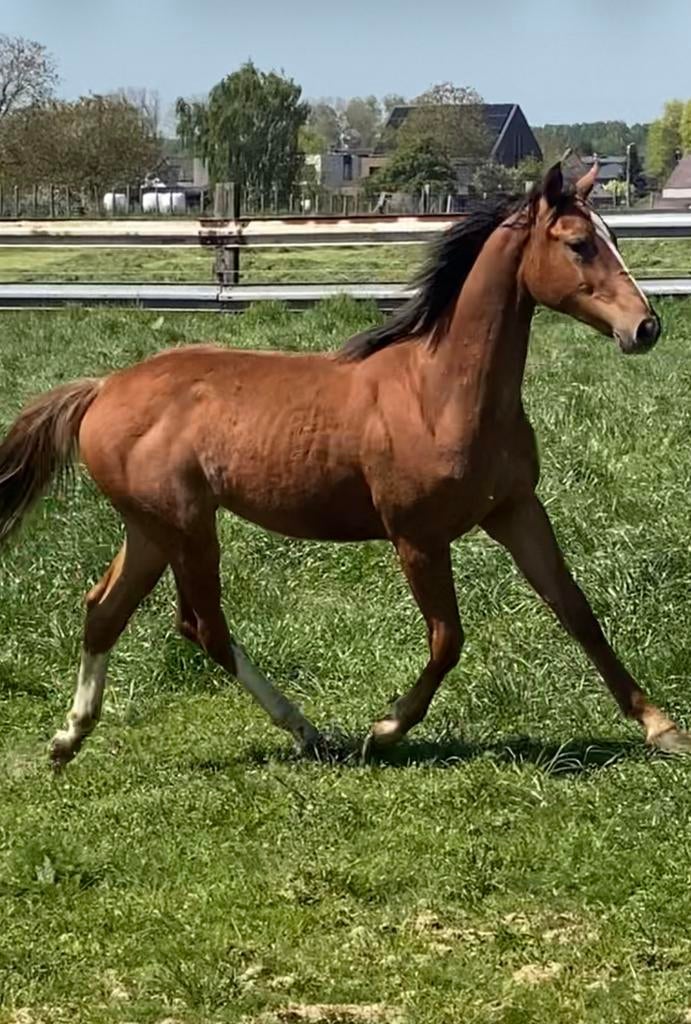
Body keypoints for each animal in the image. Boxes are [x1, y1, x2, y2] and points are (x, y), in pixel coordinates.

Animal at [1, 158, 688, 770]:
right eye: (578, 245)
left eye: (613, 236)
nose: (646, 327)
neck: (441, 392)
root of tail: (102, 389)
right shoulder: (417, 536)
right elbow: (448, 639)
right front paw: (384, 731)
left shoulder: (516, 510)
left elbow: (576, 610)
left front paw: (663, 729)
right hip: (187, 528)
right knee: (203, 625)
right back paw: (309, 733)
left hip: (150, 529)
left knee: (106, 611)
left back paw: (68, 739)